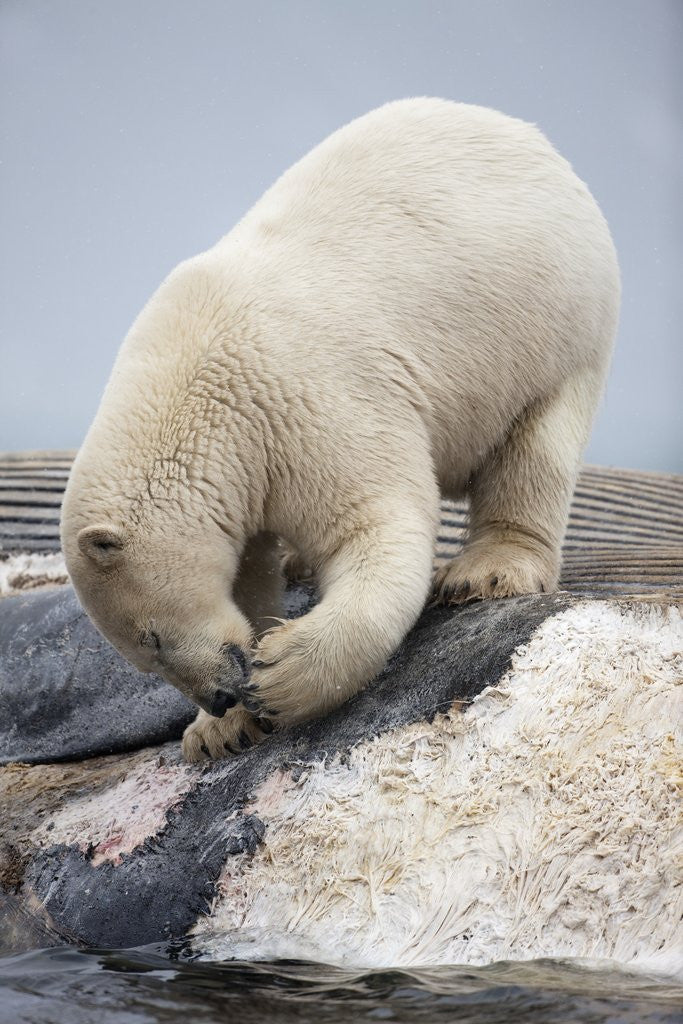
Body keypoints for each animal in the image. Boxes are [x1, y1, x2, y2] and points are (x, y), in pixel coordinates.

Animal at [61, 98, 620, 762]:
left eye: (150, 638)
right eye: (145, 658)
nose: (220, 694)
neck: (198, 383)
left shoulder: (306, 399)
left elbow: (375, 524)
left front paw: (281, 674)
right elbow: (250, 568)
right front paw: (219, 731)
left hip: (555, 327)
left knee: (534, 447)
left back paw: (487, 569)